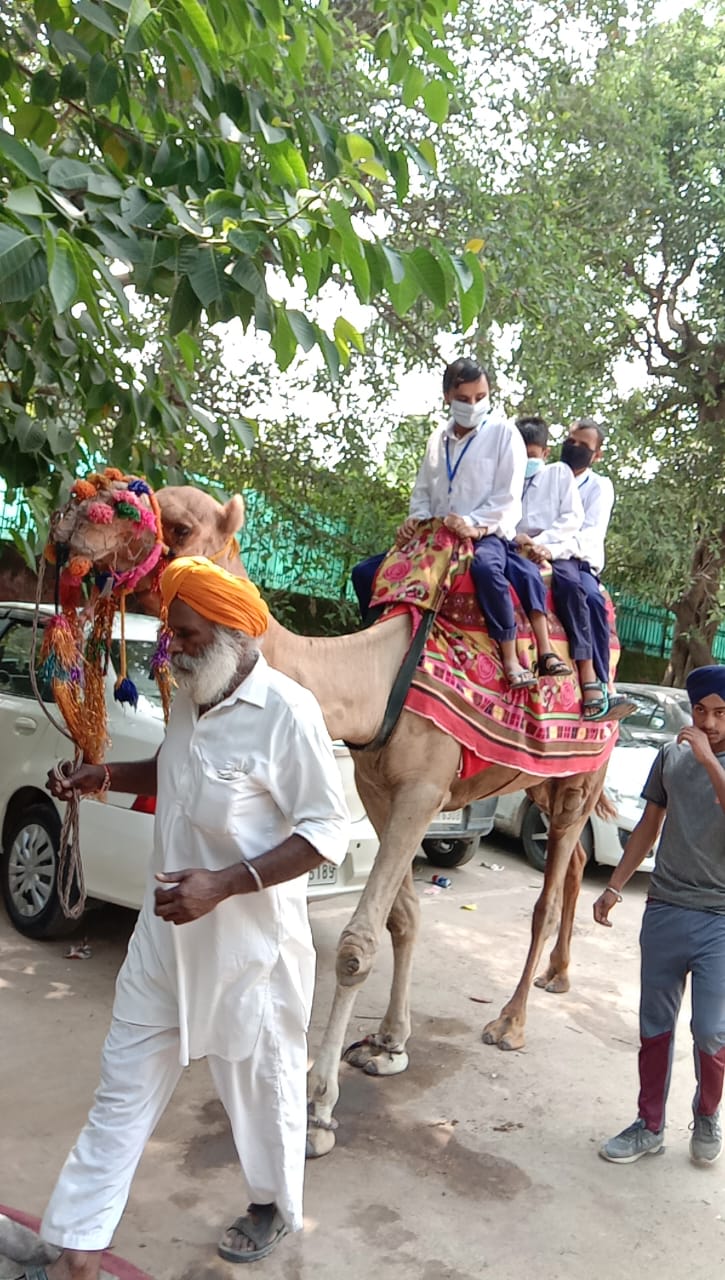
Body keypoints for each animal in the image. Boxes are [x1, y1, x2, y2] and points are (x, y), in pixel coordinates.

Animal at [142, 486, 624, 1156]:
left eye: (183, 527)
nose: (76, 522)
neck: (371, 685)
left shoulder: (423, 789)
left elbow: (356, 944)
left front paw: (317, 1111)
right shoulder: (377, 787)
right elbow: (404, 916)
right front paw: (390, 1045)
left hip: (586, 771)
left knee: (549, 895)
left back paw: (510, 1022)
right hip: (545, 782)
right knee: (576, 858)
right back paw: (558, 976)